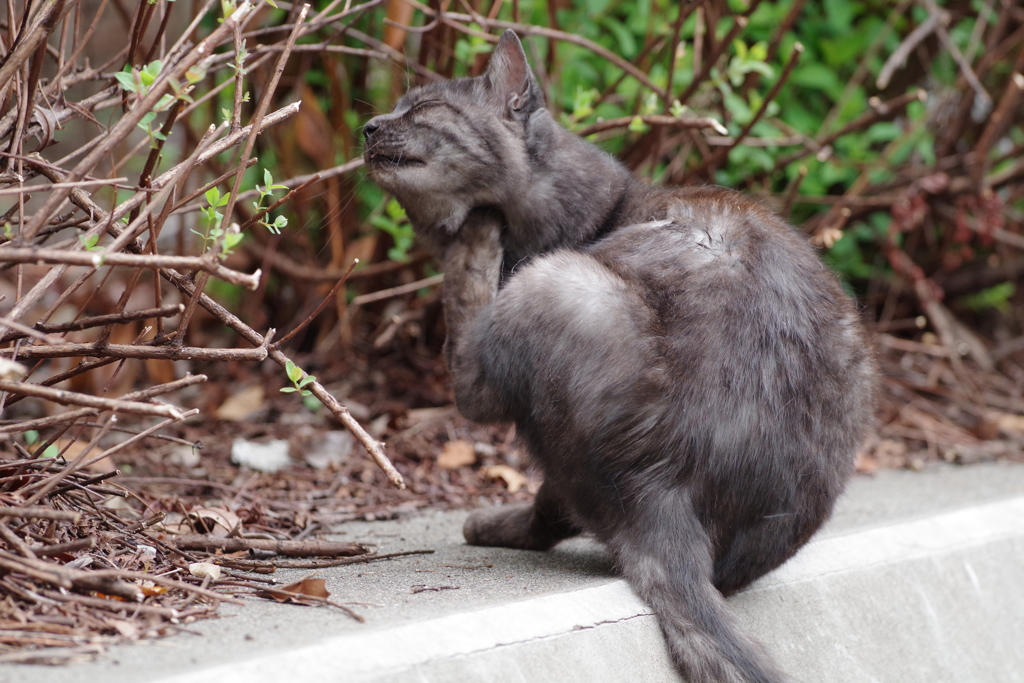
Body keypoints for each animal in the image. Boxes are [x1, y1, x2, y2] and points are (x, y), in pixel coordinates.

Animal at [364, 30, 876, 683]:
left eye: (425, 109)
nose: (369, 126)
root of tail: (667, 489)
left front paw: (474, 232)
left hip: (556, 282)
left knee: (488, 405)